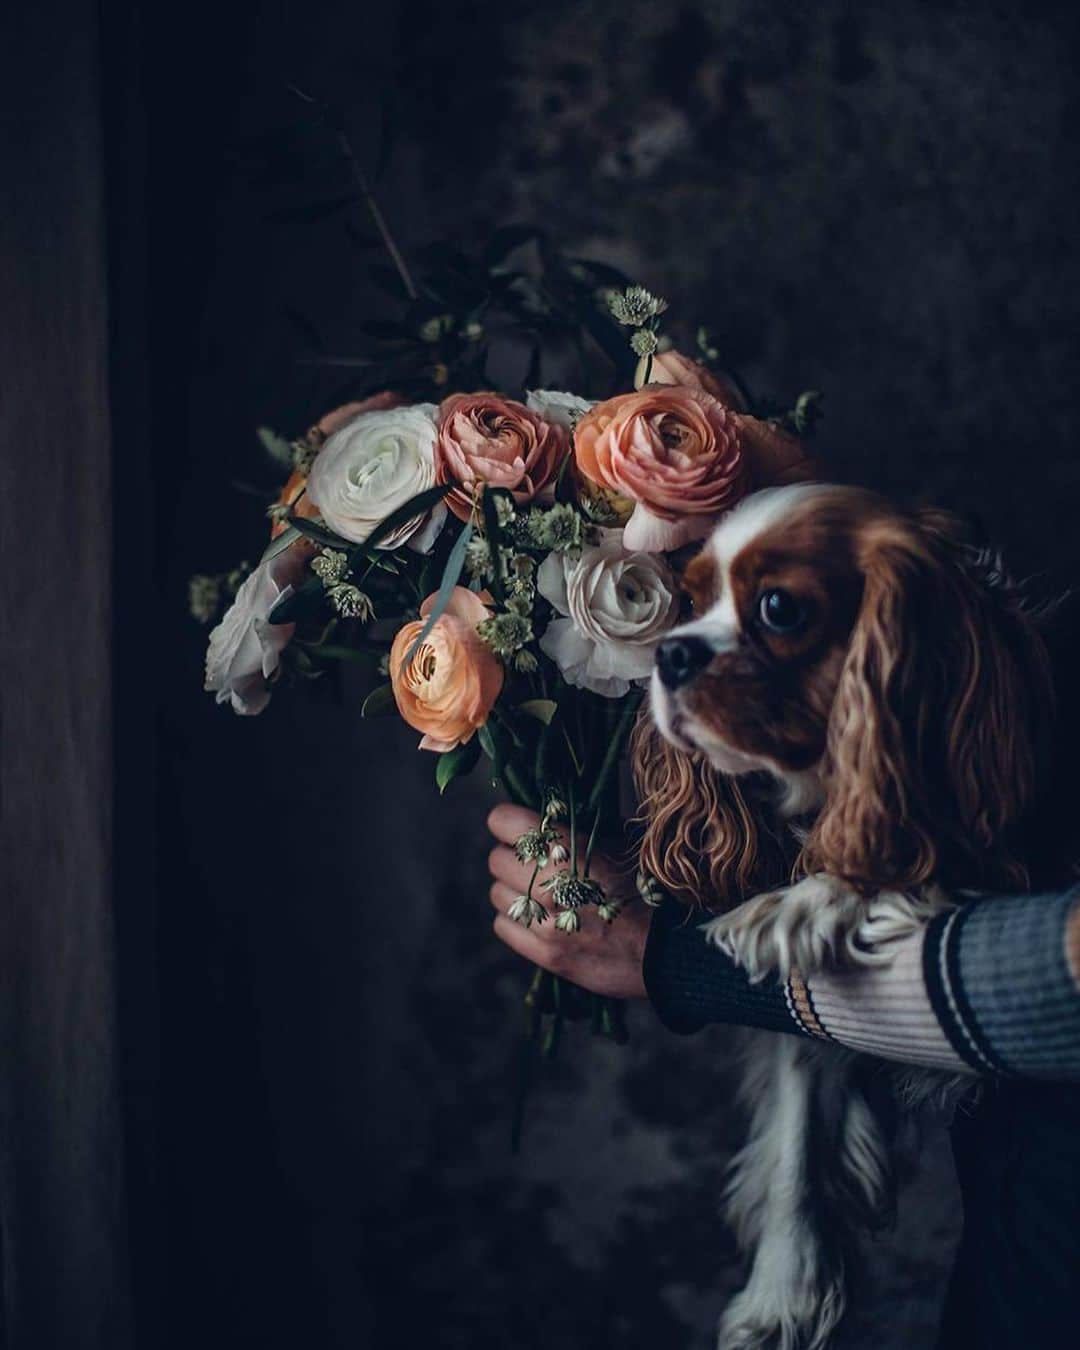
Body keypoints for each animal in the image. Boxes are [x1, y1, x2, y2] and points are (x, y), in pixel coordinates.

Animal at [631, 486, 1053, 1350]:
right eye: (690, 599)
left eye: (779, 608)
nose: (672, 654)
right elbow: (798, 1119)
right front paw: (784, 1289)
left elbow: (915, 858)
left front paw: (808, 899)